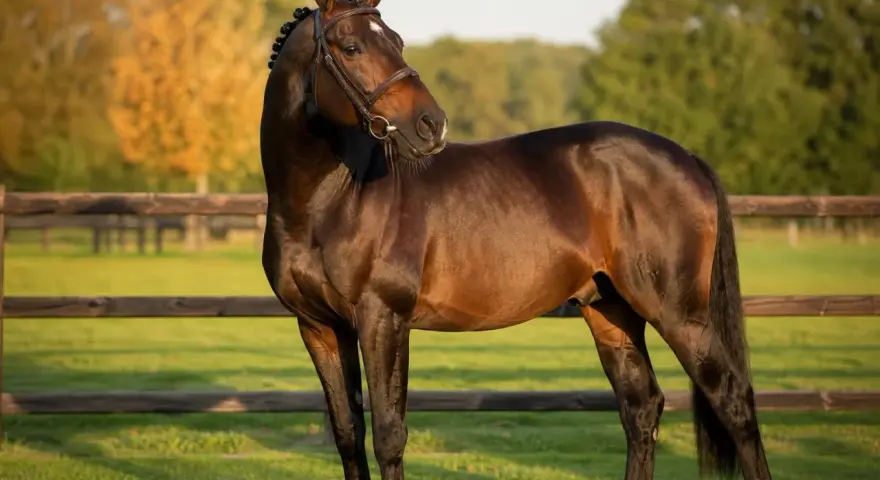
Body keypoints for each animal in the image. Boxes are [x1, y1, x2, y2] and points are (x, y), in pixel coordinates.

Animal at [259, 1, 772, 479]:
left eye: (397, 41)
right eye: (351, 48)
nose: (431, 123)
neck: (334, 199)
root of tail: (686, 156)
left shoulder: (383, 319)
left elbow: (389, 436)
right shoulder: (320, 328)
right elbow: (349, 434)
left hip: (679, 314)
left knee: (733, 401)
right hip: (610, 310)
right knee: (642, 409)